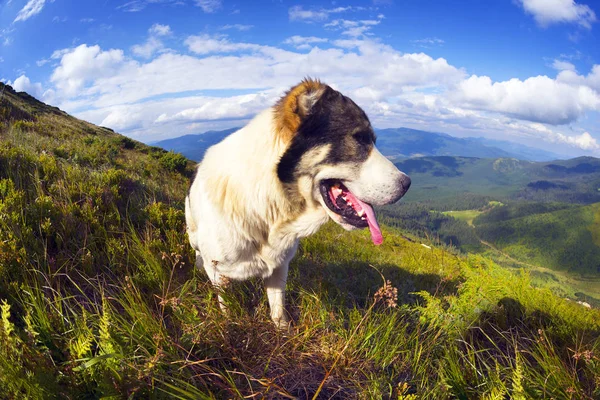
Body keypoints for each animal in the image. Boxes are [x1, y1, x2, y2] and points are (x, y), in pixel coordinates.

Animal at [186, 79, 412, 328]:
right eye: (360, 138)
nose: (407, 184)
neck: (269, 203)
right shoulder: (218, 271)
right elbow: (226, 304)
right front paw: (229, 323)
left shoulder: (279, 266)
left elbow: (278, 308)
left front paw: (282, 329)